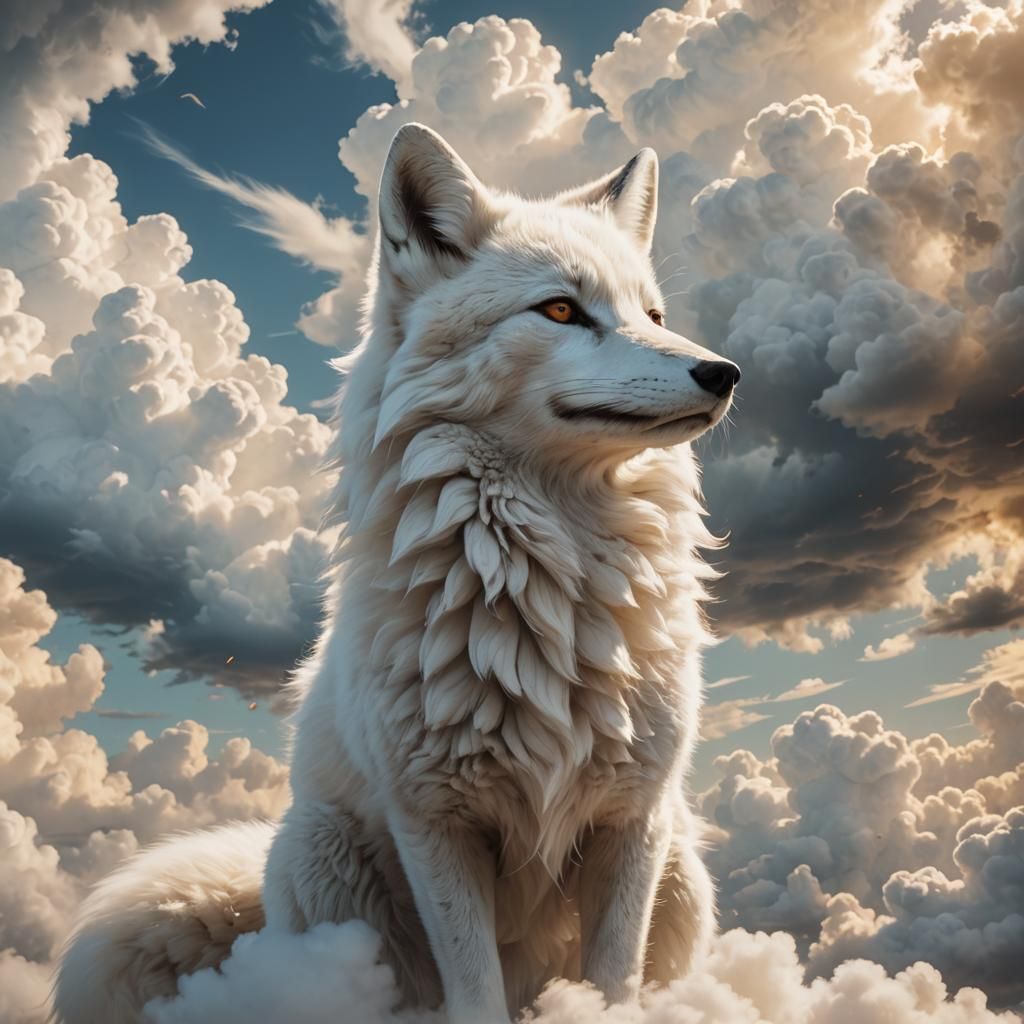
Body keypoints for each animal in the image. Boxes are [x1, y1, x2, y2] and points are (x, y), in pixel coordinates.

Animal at [54, 123, 739, 1024]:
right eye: (561, 309)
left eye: (654, 315)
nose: (724, 373)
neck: (549, 582)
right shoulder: (437, 823)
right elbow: (475, 995)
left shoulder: (633, 820)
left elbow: (613, 985)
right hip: (324, 855)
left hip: (683, 870)